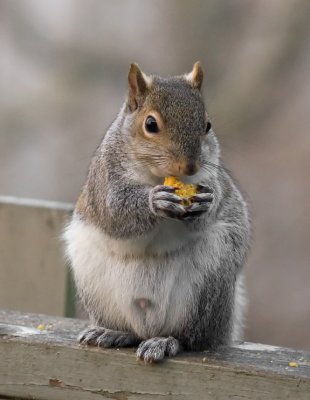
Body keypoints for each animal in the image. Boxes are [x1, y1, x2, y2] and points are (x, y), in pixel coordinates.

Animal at [64, 61, 251, 362]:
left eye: (207, 125)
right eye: (150, 124)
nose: (189, 166)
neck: (155, 176)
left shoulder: (214, 179)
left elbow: (213, 203)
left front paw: (206, 203)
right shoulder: (104, 182)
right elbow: (115, 213)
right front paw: (155, 201)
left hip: (208, 285)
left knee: (190, 338)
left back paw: (165, 341)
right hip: (96, 283)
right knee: (131, 331)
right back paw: (113, 332)